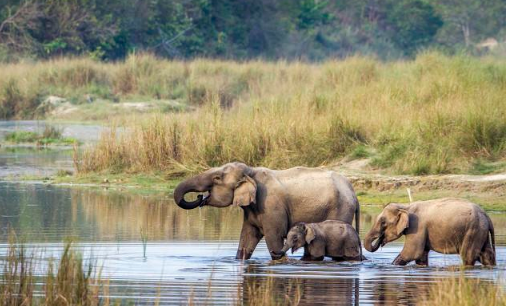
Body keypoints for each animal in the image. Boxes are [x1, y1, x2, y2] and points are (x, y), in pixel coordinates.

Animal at [174, 161, 360, 260]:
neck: (251, 171)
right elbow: (247, 239)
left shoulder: (271, 207)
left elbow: (274, 238)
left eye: (217, 178)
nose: (200, 197)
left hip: (341, 209)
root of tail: (353, 193)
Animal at [364, 198, 494, 266]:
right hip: (480, 231)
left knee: (468, 257)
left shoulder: (417, 227)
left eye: (383, 222)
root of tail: (486, 215)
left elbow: (411, 253)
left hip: (473, 230)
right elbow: (420, 257)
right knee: (487, 255)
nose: (380, 240)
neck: (406, 206)